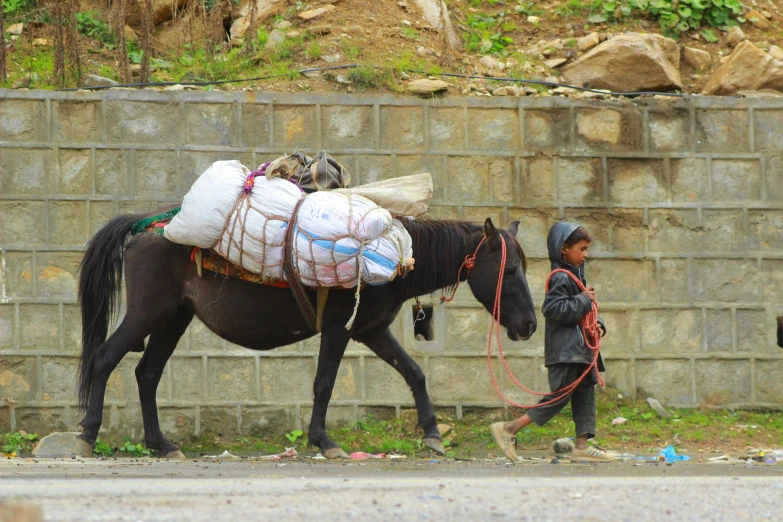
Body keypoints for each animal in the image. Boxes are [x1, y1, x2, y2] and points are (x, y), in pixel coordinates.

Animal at [75, 210, 540, 456]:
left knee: (147, 374)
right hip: (147, 313)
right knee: (104, 358)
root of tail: (145, 227)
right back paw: (88, 434)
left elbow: (414, 373)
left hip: (173, 318)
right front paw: (324, 440)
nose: (530, 325)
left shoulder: (370, 331)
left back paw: (161, 443)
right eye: (509, 271)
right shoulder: (338, 329)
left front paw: (432, 434)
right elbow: (324, 383)